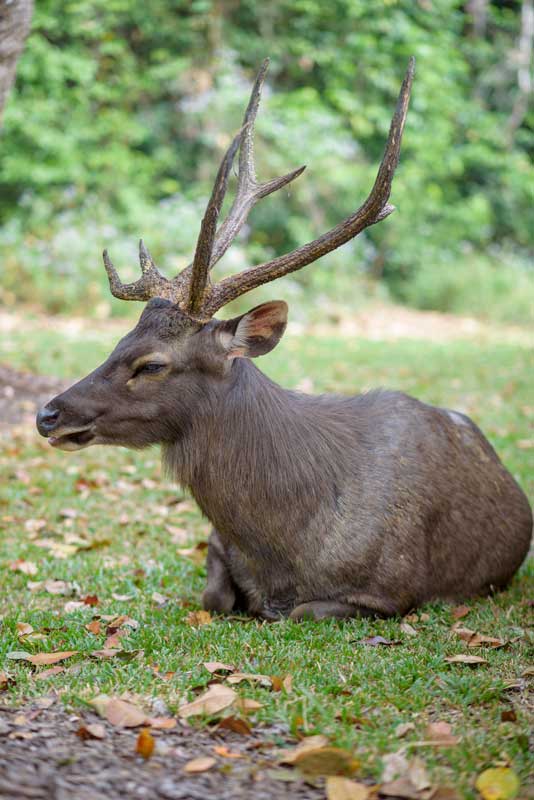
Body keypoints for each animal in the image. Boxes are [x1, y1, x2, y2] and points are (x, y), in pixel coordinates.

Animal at [35, 59, 532, 620]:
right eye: (120, 339)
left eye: (153, 364)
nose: (47, 413)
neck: (281, 546)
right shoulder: (217, 548)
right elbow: (213, 594)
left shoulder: (392, 591)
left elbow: (297, 611)